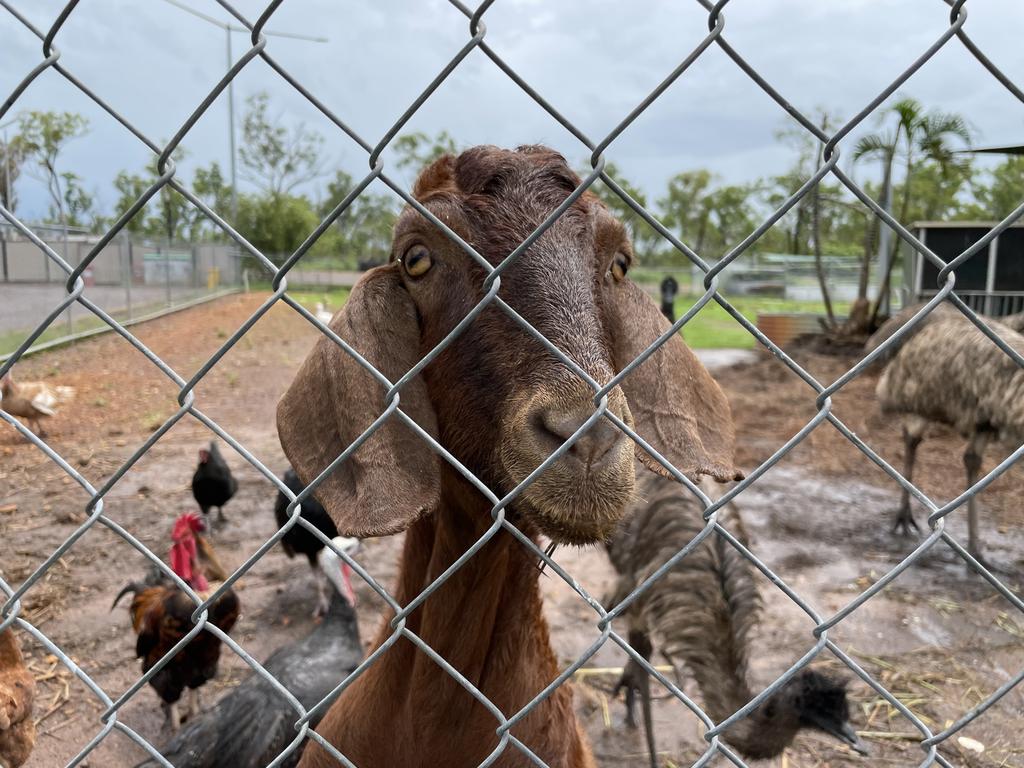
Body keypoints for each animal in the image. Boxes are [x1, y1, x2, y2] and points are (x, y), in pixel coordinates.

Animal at [868, 303, 1024, 569]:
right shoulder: (980, 416)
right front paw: (975, 550)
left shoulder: (985, 422)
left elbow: (972, 459)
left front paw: (976, 550)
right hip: (919, 398)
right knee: (911, 437)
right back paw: (904, 517)